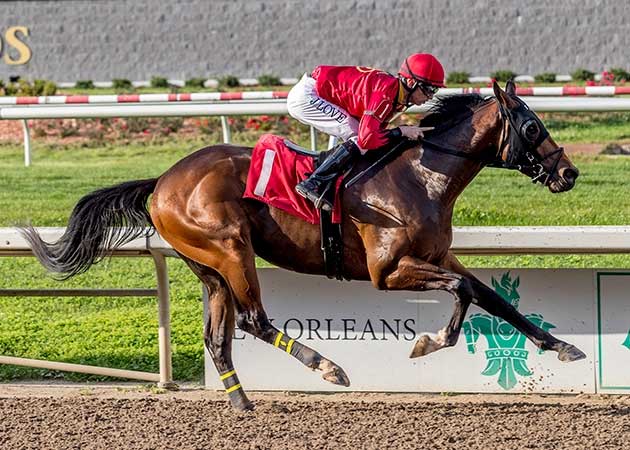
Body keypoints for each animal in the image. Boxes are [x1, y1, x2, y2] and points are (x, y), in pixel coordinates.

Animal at [23, 81, 588, 412]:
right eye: (532, 126)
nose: (569, 173)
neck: (420, 174)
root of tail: (161, 181)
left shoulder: (436, 256)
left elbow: (491, 297)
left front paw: (563, 346)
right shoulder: (388, 271)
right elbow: (461, 293)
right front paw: (427, 342)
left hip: (209, 268)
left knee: (218, 337)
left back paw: (243, 405)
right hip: (231, 249)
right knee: (253, 320)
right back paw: (327, 367)